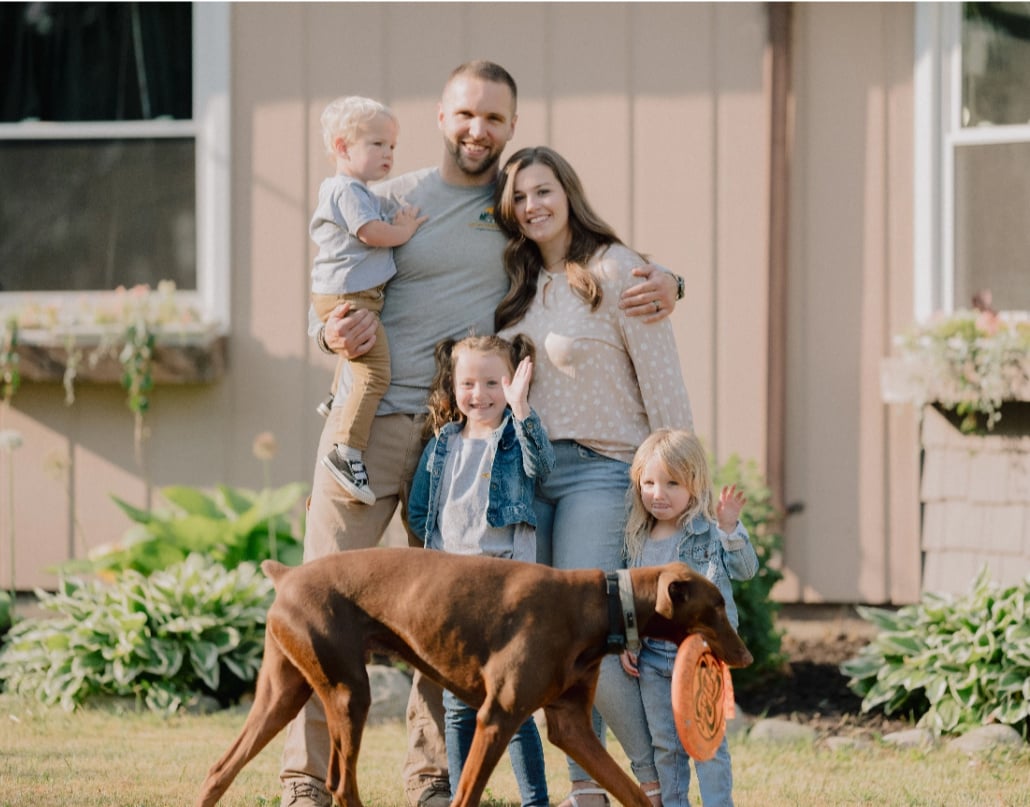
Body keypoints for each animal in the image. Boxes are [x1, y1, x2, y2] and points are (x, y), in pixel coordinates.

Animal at [196, 544, 753, 803]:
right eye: (716, 606)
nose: (746, 657)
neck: (604, 605)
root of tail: (286, 574)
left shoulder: (570, 726)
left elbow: (633, 791)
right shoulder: (497, 717)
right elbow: (465, 795)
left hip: (283, 693)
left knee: (221, 768)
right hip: (350, 692)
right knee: (340, 785)